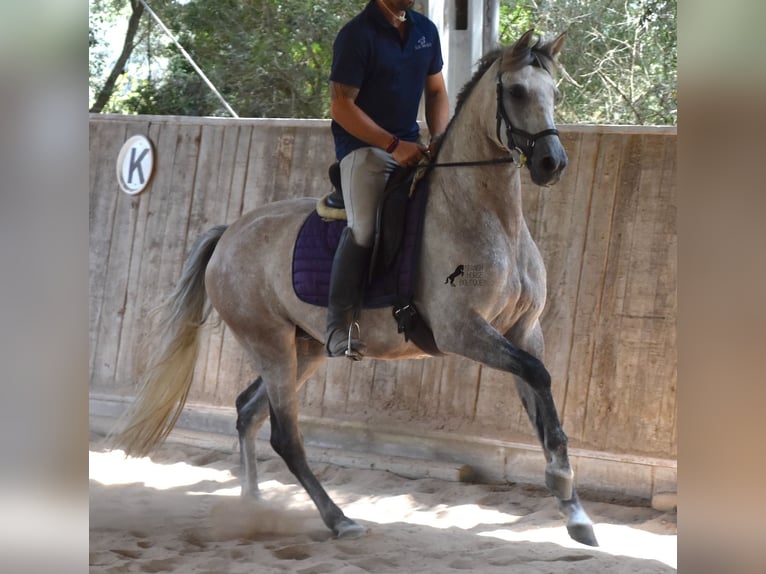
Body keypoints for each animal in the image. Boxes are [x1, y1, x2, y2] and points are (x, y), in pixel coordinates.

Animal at [109, 30, 600, 548]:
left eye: (554, 94)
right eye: (519, 92)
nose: (551, 163)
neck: (489, 219)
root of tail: (229, 234)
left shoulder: (522, 330)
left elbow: (541, 398)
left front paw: (574, 512)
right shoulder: (461, 331)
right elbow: (538, 377)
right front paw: (562, 486)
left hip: (305, 348)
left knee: (247, 411)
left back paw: (253, 505)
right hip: (270, 344)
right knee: (284, 436)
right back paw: (338, 519)